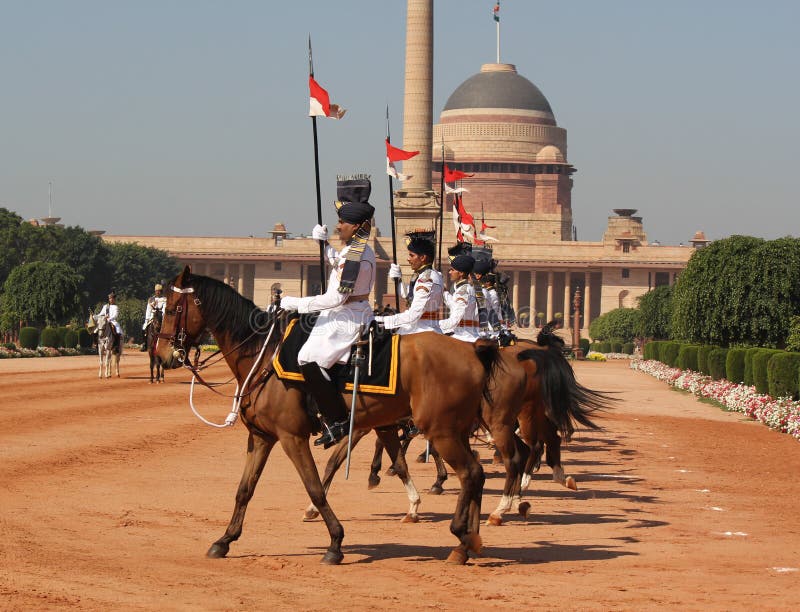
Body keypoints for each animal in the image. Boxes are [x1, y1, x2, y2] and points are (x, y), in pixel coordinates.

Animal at [155, 268, 500, 564]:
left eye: (171, 309)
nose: (162, 355)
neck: (262, 357)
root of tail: (472, 353)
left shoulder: (292, 437)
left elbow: (315, 487)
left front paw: (335, 542)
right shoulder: (262, 437)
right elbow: (244, 490)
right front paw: (225, 539)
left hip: (441, 430)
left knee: (470, 473)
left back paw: (462, 536)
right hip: (452, 430)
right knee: (476, 472)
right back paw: (469, 538)